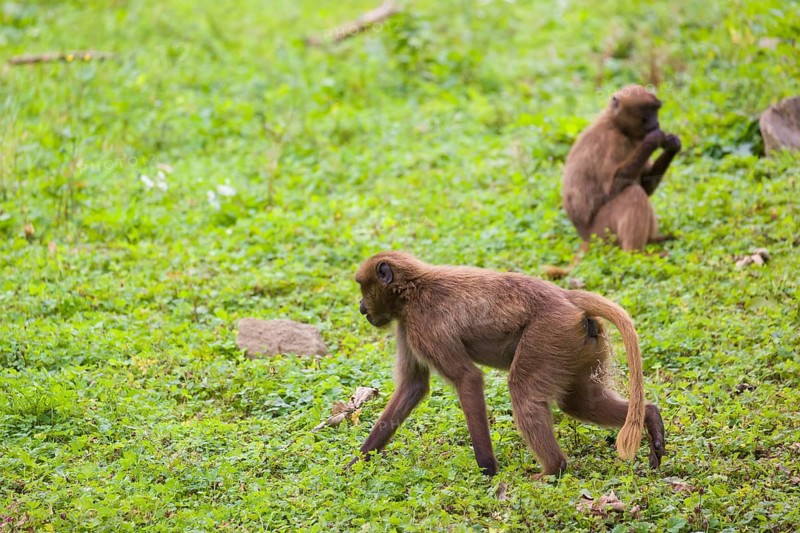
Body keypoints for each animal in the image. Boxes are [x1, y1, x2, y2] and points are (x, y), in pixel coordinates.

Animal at [349, 251, 665, 477]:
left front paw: (487, 470)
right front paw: (357, 463)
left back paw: (554, 470)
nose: (362, 308)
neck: (413, 288)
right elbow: (412, 387)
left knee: (523, 390)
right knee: (581, 403)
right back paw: (651, 418)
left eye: (362, 288)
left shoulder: (422, 324)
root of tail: (566, 296)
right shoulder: (407, 326)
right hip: (576, 343)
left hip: (549, 334)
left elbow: (468, 378)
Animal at [562, 84, 682, 251]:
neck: (616, 125)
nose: (657, 123)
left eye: (656, 109)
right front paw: (654, 139)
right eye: (649, 110)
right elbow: (614, 187)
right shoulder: (612, 141)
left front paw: (673, 145)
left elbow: (646, 186)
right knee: (633, 193)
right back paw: (636, 253)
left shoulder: (635, 141)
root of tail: (586, 238)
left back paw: (654, 241)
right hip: (602, 234)